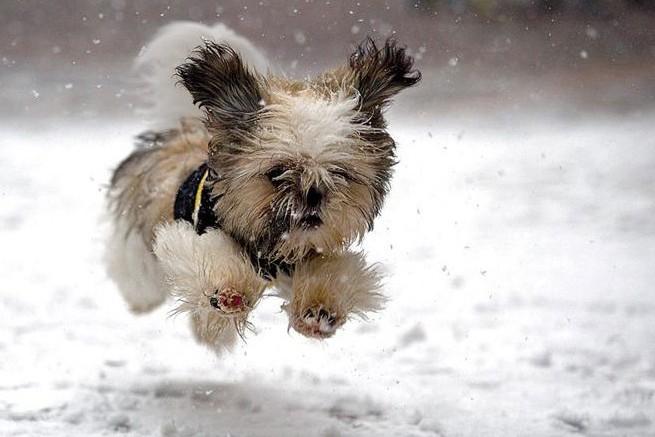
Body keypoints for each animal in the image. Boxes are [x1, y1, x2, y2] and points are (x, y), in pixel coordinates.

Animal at [106, 22, 420, 352]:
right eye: (277, 172)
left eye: (339, 173)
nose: (313, 195)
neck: (272, 250)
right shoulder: (191, 234)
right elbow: (212, 258)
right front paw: (228, 290)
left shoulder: (314, 255)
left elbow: (337, 272)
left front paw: (319, 310)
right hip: (137, 254)